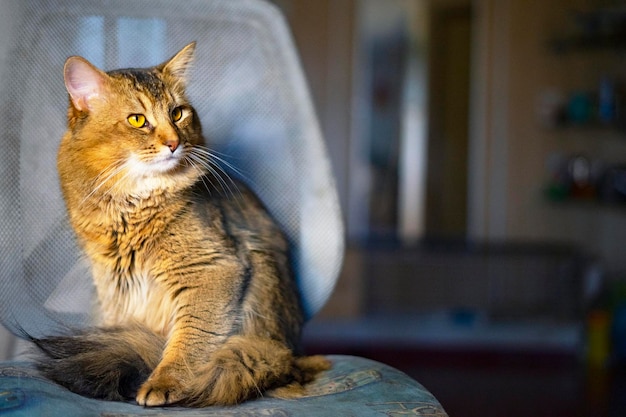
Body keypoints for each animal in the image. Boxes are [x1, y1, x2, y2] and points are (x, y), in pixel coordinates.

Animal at [31, 42, 330, 406]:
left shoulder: (214, 268)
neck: (132, 205)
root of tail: (289, 352)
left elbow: (190, 340)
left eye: (177, 113)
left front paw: (164, 381)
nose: (174, 142)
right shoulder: (114, 288)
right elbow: (127, 328)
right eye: (137, 120)